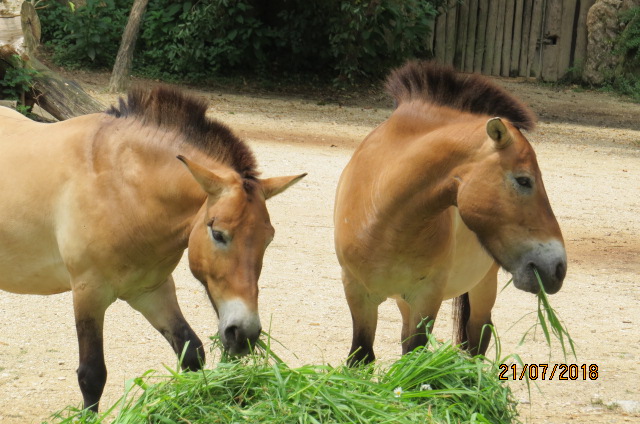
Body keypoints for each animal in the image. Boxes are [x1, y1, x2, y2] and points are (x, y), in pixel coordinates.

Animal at [0, 86, 305, 411]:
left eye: (268, 239)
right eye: (218, 234)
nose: (244, 334)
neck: (120, 186)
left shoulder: (151, 291)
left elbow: (191, 351)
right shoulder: (88, 292)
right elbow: (91, 376)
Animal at [334, 61, 567, 364]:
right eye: (524, 180)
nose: (558, 268)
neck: (383, 218)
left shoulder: (427, 297)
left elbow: (415, 357)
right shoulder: (356, 291)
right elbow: (361, 356)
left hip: (482, 286)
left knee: (478, 337)